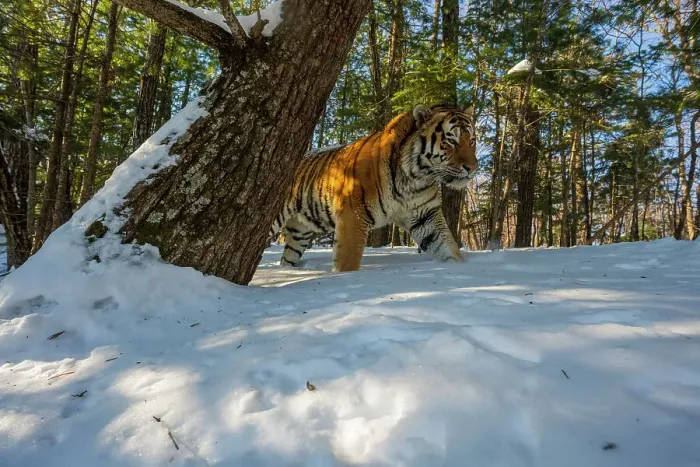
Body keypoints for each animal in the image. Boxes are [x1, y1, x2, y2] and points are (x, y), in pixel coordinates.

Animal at [269, 103, 478, 272]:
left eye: (472, 141)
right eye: (450, 141)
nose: (472, 168)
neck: (415, 178)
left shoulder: (426, 216)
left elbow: (447, 246)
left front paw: (460, 268)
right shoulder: (353, 216)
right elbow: (348, 260)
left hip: (299, 233)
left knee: (288, 257)